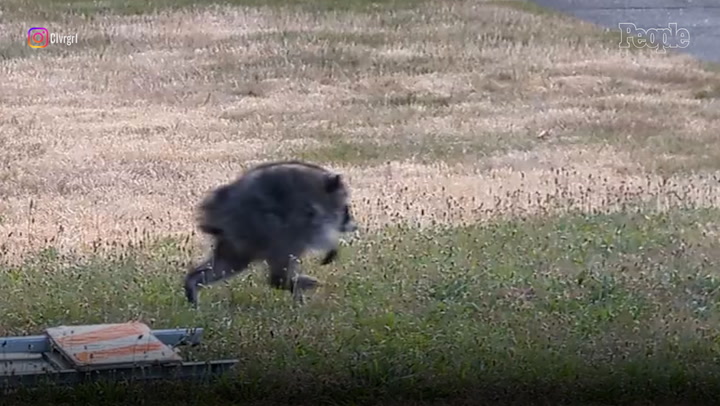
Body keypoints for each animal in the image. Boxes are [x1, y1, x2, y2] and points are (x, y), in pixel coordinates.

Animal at [184, 160, 358, 307]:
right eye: (346, 209)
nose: (354, 226)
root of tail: (218, 205)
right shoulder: (307, 211)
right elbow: (317, 232)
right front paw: (331, 245)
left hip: (238, 235)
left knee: (228, 263)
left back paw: (192, 283)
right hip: (258, 223)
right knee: (287, 245)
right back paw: (284, 281)